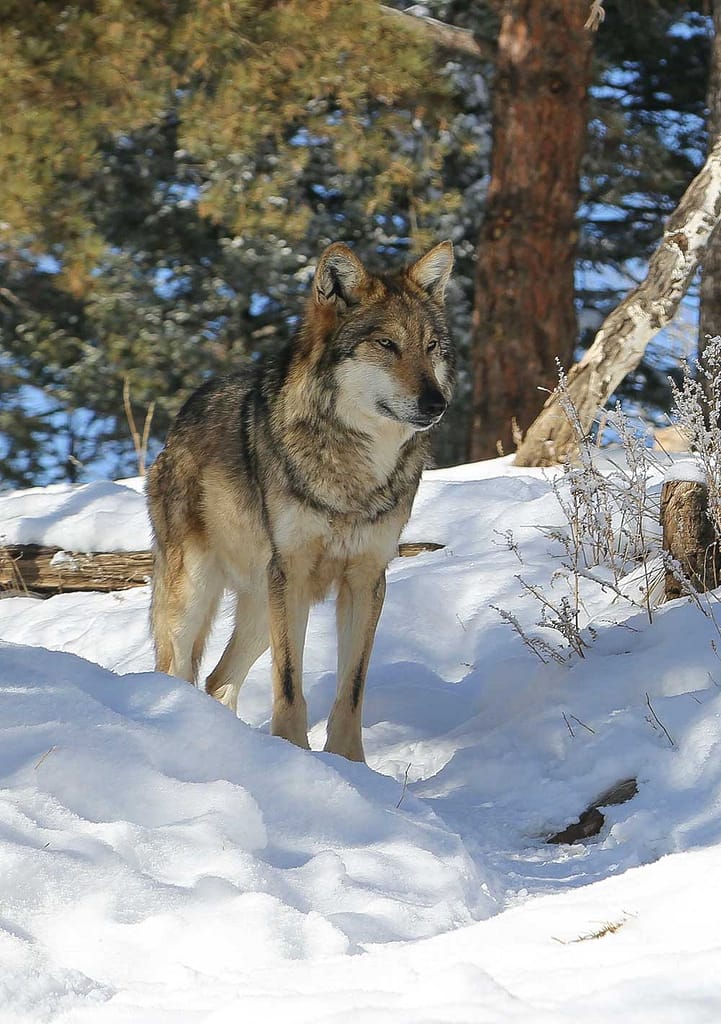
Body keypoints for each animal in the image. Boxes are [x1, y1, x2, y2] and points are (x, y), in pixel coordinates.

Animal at [146, 240, 455, 761]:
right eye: (386, 345)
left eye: (431, 347)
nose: (437, 404)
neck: (354, 469)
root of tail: (175, 427)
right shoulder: (290, 574)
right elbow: (290, 684)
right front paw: (296, 755)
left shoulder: (367, 578)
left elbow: (352, 689)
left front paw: (350, 766)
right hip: (198, 595)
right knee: (176, 673)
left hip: (260, 609)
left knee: (218, 679)